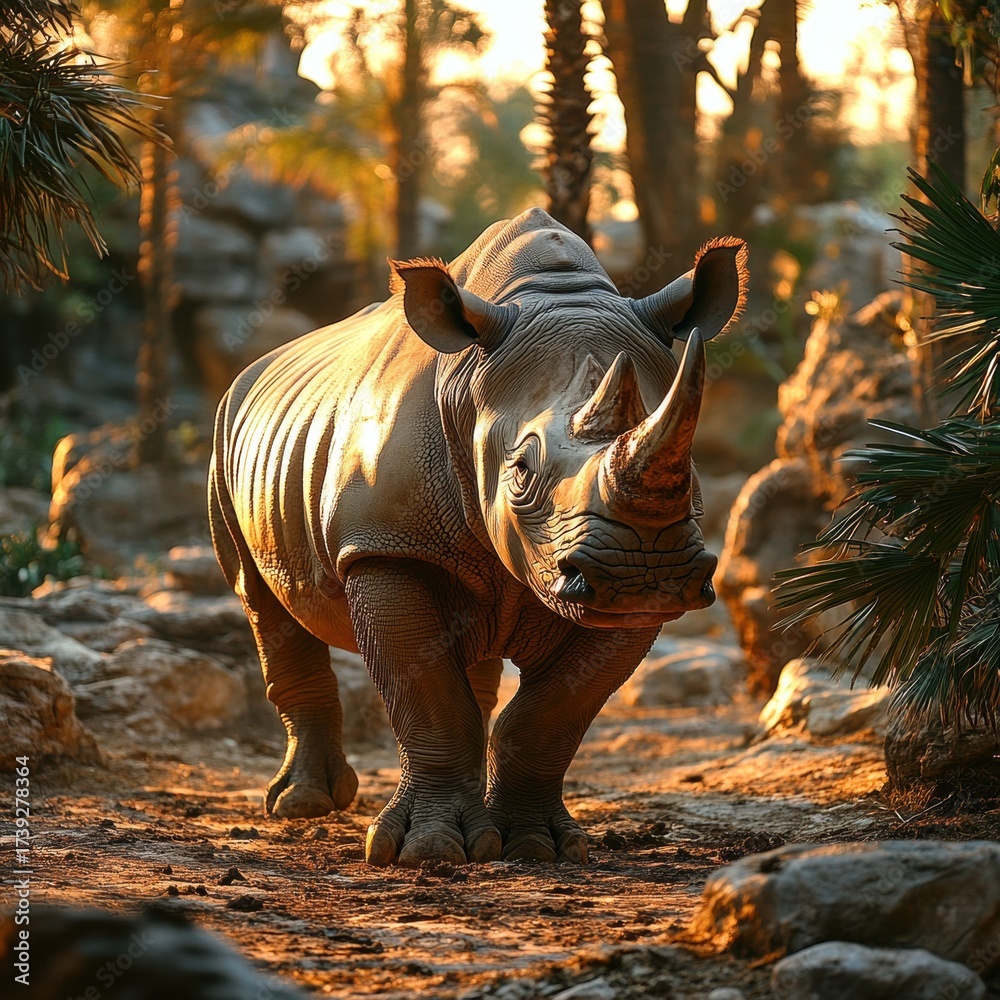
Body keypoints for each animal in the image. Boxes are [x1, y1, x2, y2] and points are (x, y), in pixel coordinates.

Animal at [209, 208, 747, 866]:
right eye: (521, 470)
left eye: (692, 471)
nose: (640, 576)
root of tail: (254, 369)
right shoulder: (385, 548)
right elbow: (428, 695)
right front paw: (430, 852)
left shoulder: (640, 590)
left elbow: (553, 714)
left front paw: (537, 845)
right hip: (223, 436)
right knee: (261, 599)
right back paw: (302, 806)